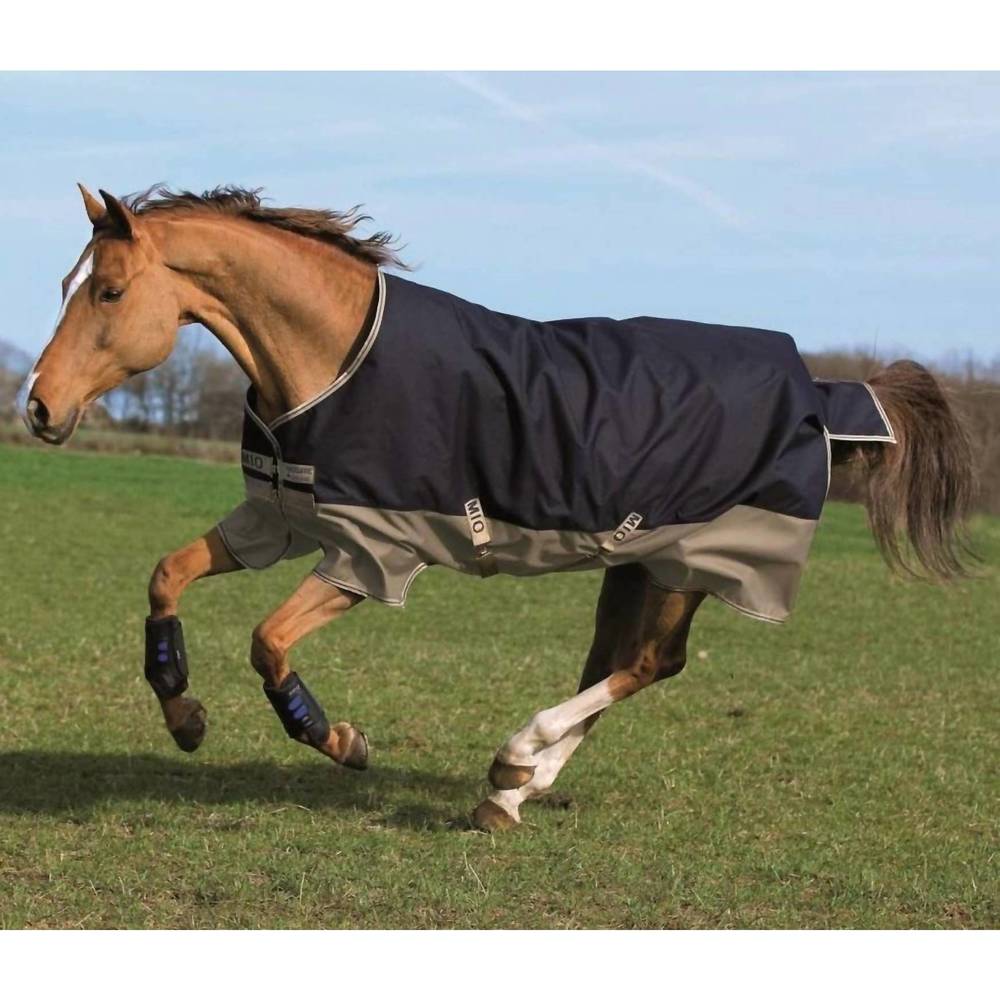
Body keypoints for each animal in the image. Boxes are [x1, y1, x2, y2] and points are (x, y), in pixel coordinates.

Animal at [18, 184, 974, 832]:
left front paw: (339, 738)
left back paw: (515, 761)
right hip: (636, 563)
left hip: (691, 563)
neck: (334, 358)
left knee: (649, 664)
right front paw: (183, 714)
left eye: (107, 291)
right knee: (616, 663)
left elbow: (267, 643)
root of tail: (814, 386)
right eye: (67, 282)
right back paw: (512, 790)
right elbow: (165, 576)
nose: (38, 408)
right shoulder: (282, 520)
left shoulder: (371, 553)